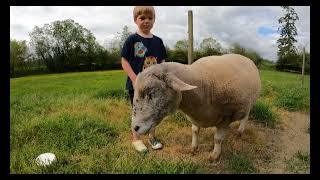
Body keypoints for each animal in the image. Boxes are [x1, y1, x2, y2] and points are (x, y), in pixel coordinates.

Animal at [131, 53, 262, 162]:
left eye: (151, 94)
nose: (135, 127)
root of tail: (244, 56)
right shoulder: (196, 115)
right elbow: (194, 131)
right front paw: (194, 148)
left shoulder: (226, 117)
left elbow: (218, 139)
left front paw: (214, 156)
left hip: (250, 103)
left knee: (245, 117)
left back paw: (240, 131)